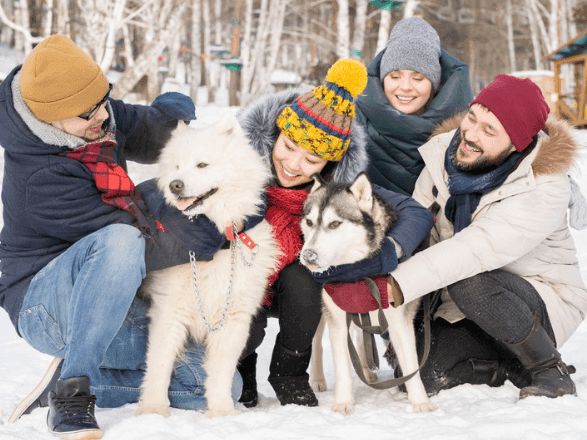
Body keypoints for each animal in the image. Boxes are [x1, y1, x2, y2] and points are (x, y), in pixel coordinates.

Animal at [137, 111, 280, 418]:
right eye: (177, 166)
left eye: (202, 165)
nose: (175, 185)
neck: (216, 240)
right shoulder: (169, 312)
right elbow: (159, 366)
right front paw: (153, 411)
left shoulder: (233, 319)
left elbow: (222, 373)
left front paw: (222, 412)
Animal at [300, 173, 434, 416]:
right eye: (309, 222)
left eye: (335, 224)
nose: (308, 256)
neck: (358, 272)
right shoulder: (336, 317)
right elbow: (342, 366)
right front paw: (343, 403)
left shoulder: (399, 319)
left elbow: (411, 364)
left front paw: (420, 403)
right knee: (316, 342)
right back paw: (317, 378)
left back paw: (367, 370)